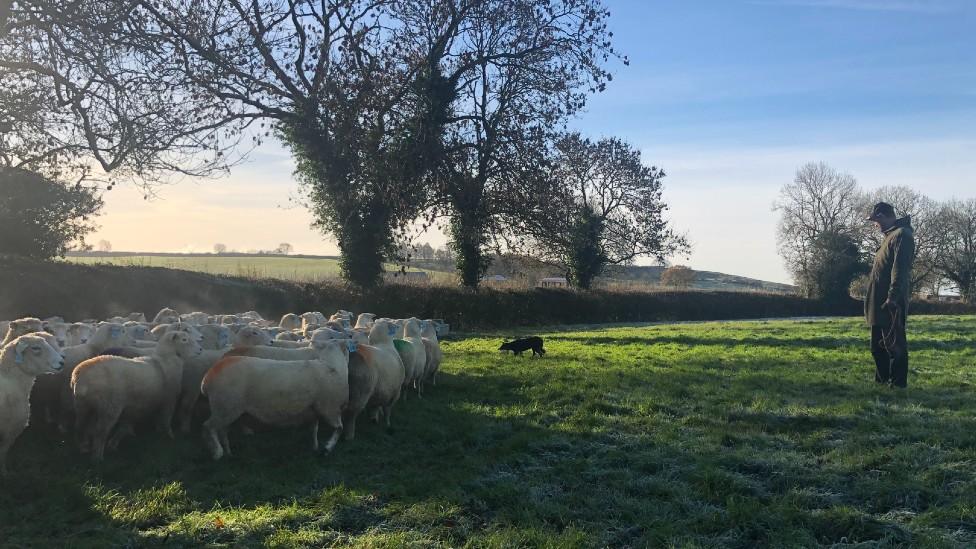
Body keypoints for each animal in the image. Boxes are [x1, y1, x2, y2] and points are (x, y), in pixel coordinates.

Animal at [73, 328, 204, 460]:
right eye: (184, 339)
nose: (200, 350)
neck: (164, 361)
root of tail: (79, 377)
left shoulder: (134, 406)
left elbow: (125, 427)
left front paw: (113, 444)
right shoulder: (169, 400)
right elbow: (166, 420)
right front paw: (170, 436)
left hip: (84, 407)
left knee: (81, 427)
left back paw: (84, 447)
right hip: (110, 407)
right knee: (100, 432)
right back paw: (97, 457)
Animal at [198, 338, 350, 458]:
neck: (332, 367)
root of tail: (207, 379)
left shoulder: (315, 410)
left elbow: (314, 429)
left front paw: (315, 447)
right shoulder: (330, 408)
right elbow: (339, 428)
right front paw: (327, 448)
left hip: (226, 408)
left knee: (222, 430)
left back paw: (228, 452)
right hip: (226, 407)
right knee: (207, 426)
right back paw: (217, 452)